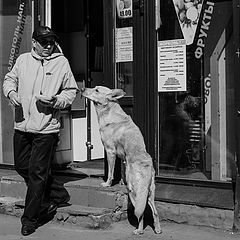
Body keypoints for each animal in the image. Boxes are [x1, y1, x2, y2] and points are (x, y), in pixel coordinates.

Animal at [81, 86, 162, 234]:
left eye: (96, 90)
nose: (82, 88)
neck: (109, 111)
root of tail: (146, 166)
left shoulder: (110, 151)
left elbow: (111, 172)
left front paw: (107, 184)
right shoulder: (123, 157)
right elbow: (123, 171)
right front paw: (120, 182)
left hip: (135, 193)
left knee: (140, 213)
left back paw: (139, 230)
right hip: (149, 193)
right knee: (154, 211)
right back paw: (158, 229)